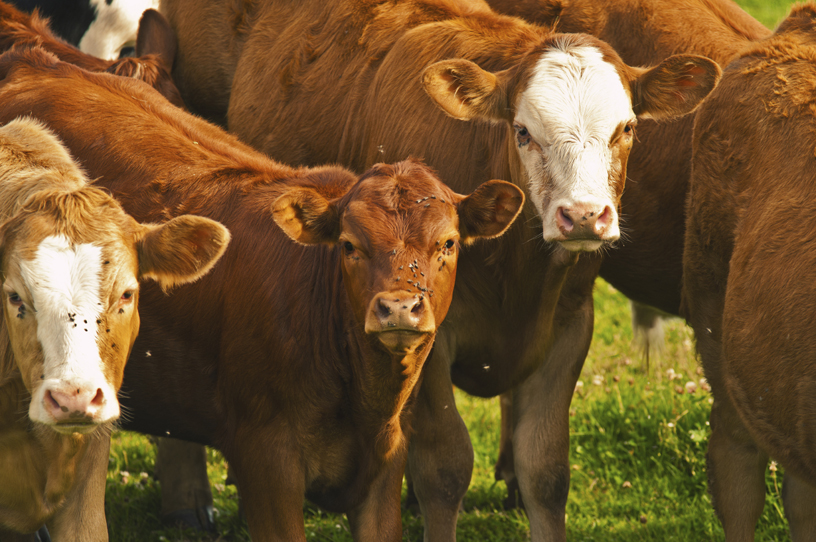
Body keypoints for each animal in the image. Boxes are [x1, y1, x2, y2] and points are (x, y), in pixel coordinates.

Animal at [159, 0, 720, 540]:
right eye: (523, 132)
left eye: (627, 128)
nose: (582, 215)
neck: (517, 277)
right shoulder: (428, 333)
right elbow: (446, 469)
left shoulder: (570, 324)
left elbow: (545, 472)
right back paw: (187, 500)